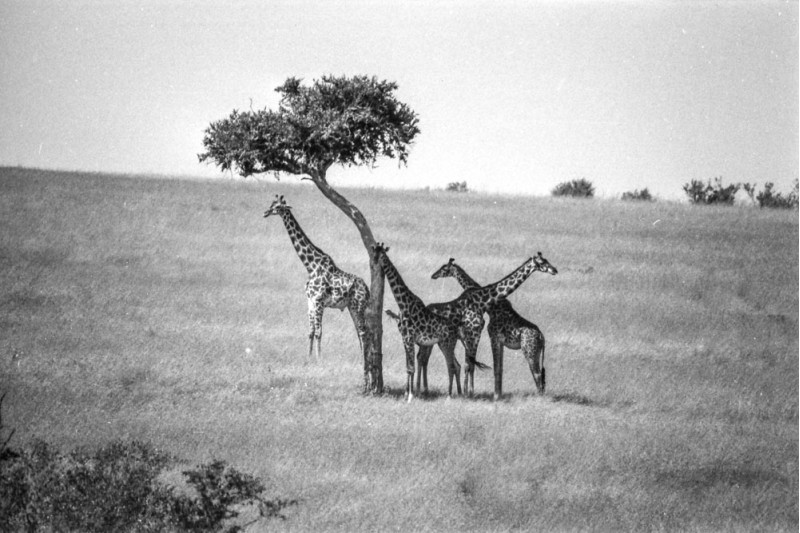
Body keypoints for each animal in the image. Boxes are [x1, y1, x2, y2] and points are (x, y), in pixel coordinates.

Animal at [264, 195, 371, 391]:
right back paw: (362, 358)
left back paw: (364, 361)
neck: (310, 265)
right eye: (272, 204)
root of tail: (366, 289)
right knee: (361, 332)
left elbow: (320, 331)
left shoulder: (319, 301)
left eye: (278, 207)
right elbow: (310, 331)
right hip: (352, 307)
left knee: (363, 332)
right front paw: (308, 358)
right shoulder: (310, 301)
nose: (266, 212)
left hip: (358, 306)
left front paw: (319, 359)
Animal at [371, 243, 461, 401]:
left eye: (381, 255)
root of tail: (456, 330)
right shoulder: (405, 339)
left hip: (447, 344)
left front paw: (410, 396)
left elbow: (412, 368)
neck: (404, 304)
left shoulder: (409, 338)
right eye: (374, 252)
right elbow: (408, 367)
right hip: (442, 344)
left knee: (451, 366)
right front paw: (406, 393)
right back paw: (459, 394)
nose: (375, 262)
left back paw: (449, 396)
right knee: (455, 365)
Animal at [428, 252, 557, 396]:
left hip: (530, 351)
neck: (486, 303)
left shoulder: (483, 335)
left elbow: (477, 365)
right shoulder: (485, 336)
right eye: (542, 262)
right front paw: (485, 394)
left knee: (537, 374)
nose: (554, 270)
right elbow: (487, 366)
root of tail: (542, 337)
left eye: (444, 268)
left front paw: (473, 393)